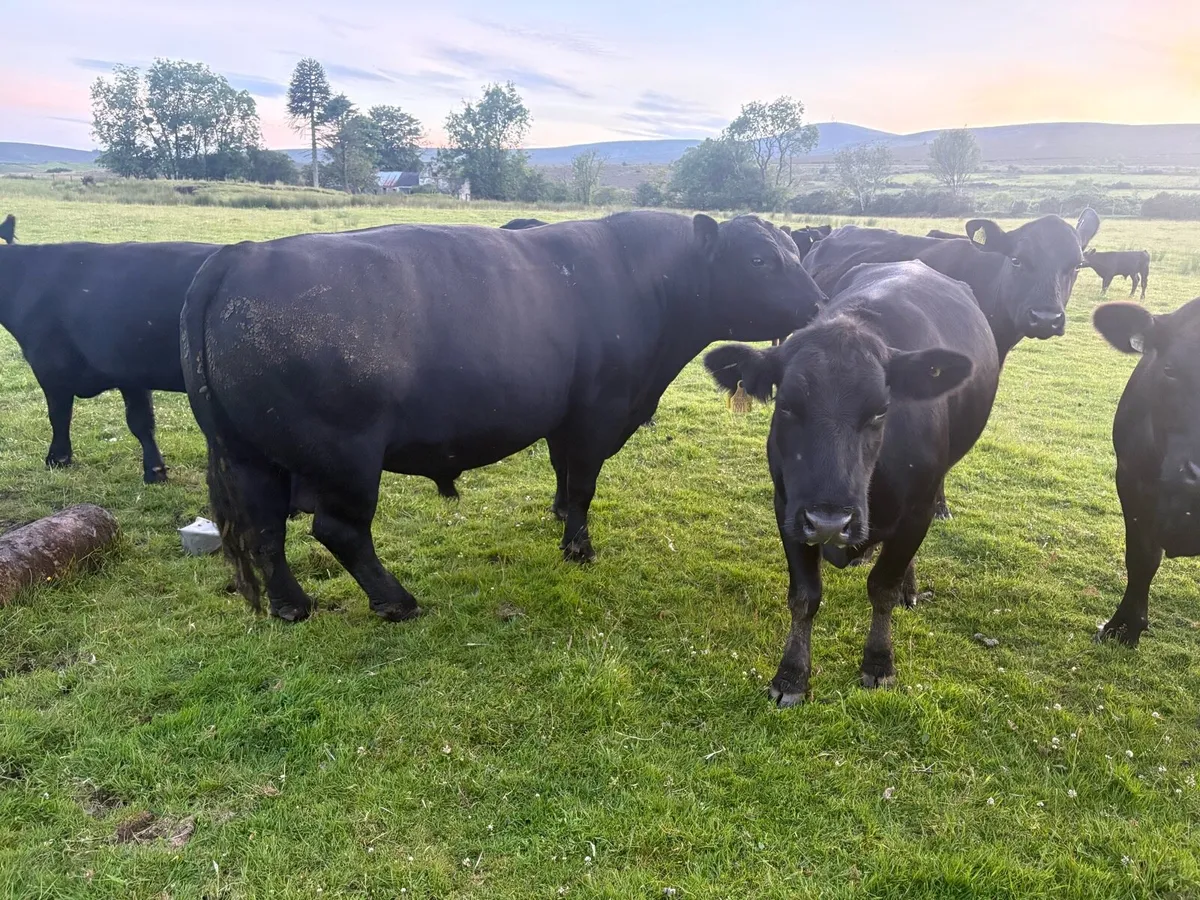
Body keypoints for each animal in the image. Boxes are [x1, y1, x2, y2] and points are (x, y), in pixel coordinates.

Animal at [0, 220, 218, 482]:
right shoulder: (130, 372)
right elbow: (141, 421)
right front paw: (155, 471)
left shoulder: (50, 365)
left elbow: (58, 414)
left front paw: (58, 458)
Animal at [182, 212, 827, 622]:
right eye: (760, 259)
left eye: (797, 252)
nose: (819, 303)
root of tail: (242, 254)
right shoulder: (596, 413)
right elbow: (585, 481)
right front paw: (578, 548)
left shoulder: (565, 415)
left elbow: (563, 472)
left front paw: (560, 515)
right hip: (344, 458)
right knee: (339, 532)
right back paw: (397, 602)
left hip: (250, 456)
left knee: (265, 531)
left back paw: (293, 606)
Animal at [704, 260, 998, 704]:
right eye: (786, 405)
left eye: (881, 410)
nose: (830, 523)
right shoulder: (788, 508)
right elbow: (804, 596)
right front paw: (791, 675)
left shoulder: (916, 511)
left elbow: (883, 588)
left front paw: (878, 662)